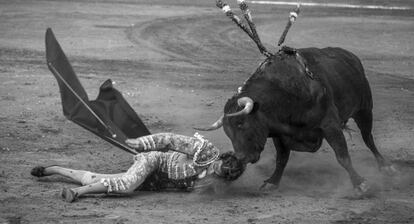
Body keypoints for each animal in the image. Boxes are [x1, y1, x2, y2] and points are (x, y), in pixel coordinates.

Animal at [197, 0, 394, 193]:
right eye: (227, 132)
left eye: (241, 123)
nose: (236, 161)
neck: (283, 94)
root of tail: (351, 56)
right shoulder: (278, 133)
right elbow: (281, 159)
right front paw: (273, 182)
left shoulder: (330, 124)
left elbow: (342, 156)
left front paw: (359, 183)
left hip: (365, 109)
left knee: (368, 138)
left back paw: (385, 166)